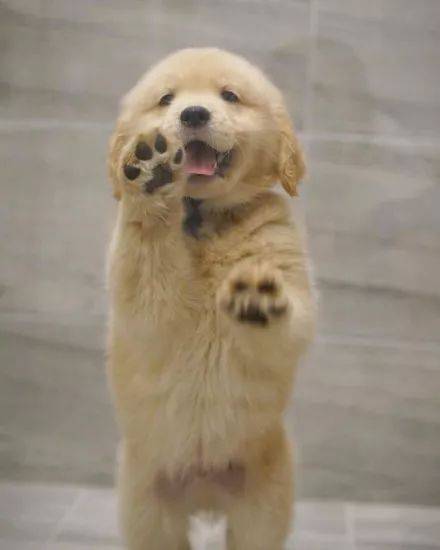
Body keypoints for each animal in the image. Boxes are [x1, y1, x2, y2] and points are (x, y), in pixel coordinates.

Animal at [107, 47, 315, 550]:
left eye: (230, 96)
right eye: (166, 99)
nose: (194, 114)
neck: (204, 220)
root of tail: (203, 491)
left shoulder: (286, 258)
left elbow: (291, 321)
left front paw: (256, 298)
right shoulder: (146, 299)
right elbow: (146, 247)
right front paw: (149, 175)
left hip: (264, 504)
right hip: (147, 508)